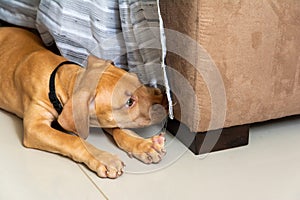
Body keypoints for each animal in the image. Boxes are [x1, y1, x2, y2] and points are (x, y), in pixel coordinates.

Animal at [0, 27, 166, 179]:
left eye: (137, 80)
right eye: (130, 102)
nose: (164, 99)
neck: (64, 80)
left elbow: (120, 129)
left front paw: (145, 145)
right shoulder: (34, 127)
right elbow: (73, 140)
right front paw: (105, 159)